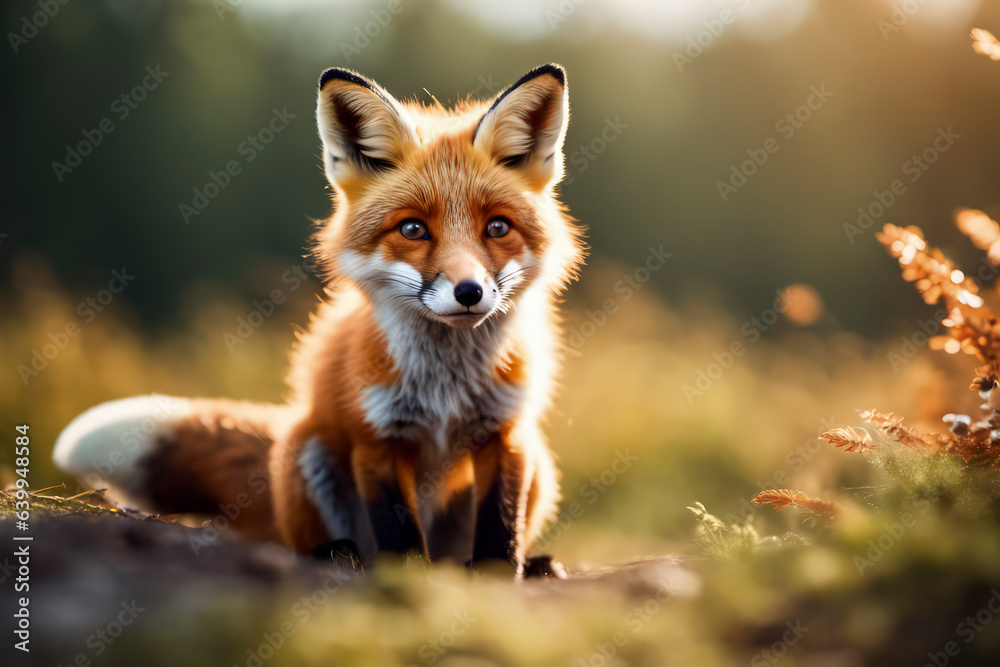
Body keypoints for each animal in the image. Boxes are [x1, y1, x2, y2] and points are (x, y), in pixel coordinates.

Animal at [53, 64, 585, 575]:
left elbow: (500, 527)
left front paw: (499, 575)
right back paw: (338, 555)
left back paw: (532, 565)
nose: (470, 292)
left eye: (497, 227)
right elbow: (401, 536)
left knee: (458, 553)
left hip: (539, 467)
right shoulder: (377, 439)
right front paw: (410, 579)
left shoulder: (505, 432)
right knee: (320, 544)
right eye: (413, 229)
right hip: (309, 452)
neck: (445, 388)